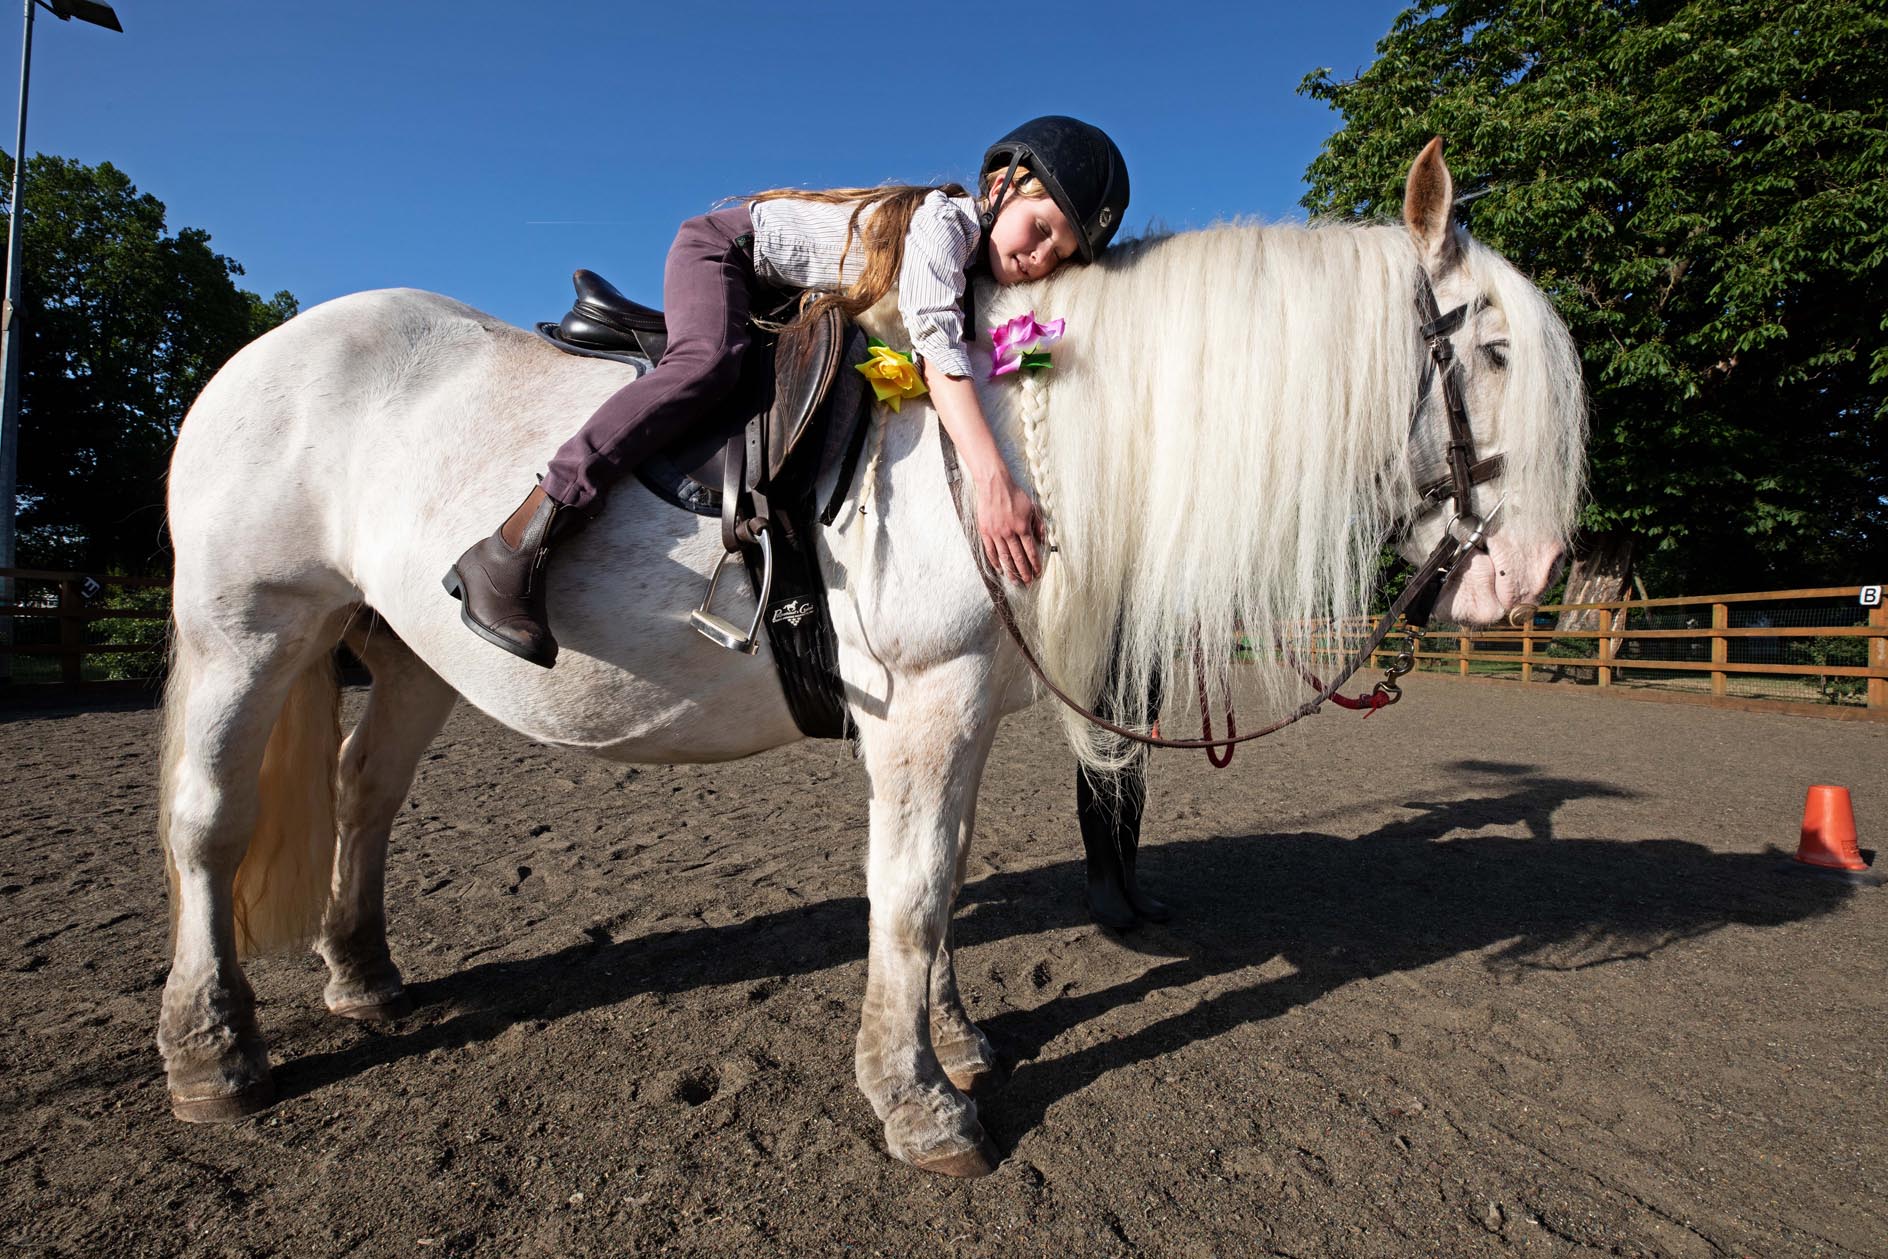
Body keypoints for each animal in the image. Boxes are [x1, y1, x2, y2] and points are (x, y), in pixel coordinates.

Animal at [158, 142, 1578, 1177]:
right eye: (1494, 348)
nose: (1531, 579)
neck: (1006, 421)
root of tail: (269, 347)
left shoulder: (970, 707)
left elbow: (941, 888)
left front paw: (956, 1043)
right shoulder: (926, 705)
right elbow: (910, 888)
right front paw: (920, 1103)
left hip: (406, 658)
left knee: (363, 795)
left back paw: (363, 976)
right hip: (248, 627)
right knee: (209, 823)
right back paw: (211, 1052)